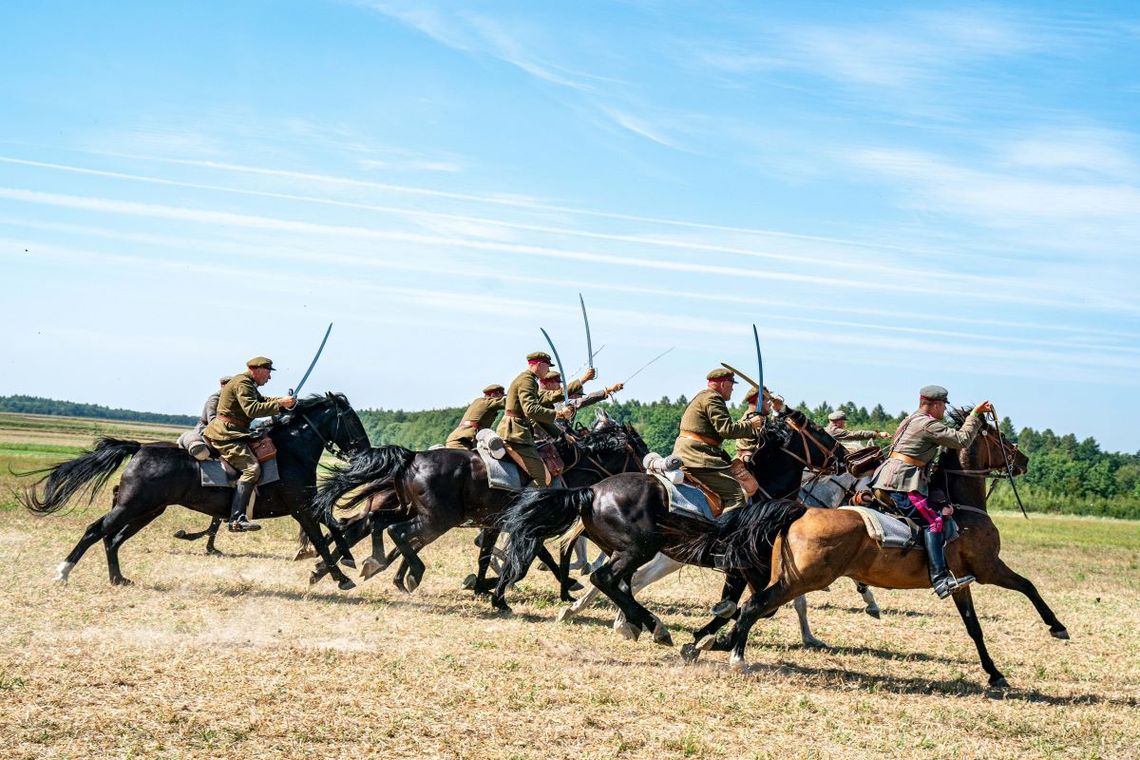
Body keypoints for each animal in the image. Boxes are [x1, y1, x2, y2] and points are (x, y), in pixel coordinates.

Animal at [22, 396, 369, 592]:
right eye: (352, 419)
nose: (363, 449)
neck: (291, 451)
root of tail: (139, 449)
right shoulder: (302, 508)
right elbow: (322, 538)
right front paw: (340, 577)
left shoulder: (308, 506)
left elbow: (335, 526)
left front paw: (347, 561)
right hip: (132, 506)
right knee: (96, 530)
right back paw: (63, 572)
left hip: (147, 511)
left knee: (113, 538)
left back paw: (118, 579)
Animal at [312, 419, 652, 597]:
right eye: (639, 447)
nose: (649, 473)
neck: (570, 468)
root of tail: (412, 457)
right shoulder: (529, 527)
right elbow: (538, 558)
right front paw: (564, 584)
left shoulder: (497, 524)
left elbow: (487, 555)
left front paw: (481, 585)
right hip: (437, 519)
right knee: (396, 531)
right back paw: (406, 573)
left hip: (410, 510)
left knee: (376, 521)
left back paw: (374, 565)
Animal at [494, 412, 843, 647]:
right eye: (815, 430)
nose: (842, 455)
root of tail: (591, 491)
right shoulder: (743, 565)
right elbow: (742, 606)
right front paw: (707, 637)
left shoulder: (749, 569)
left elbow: (742, 605)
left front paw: (704, 636)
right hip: (639, 550)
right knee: (605, 578)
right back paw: (650, 626)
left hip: (628, 551)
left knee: (620, 583)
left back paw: (631, 621)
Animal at [684, 410, 1067, 688]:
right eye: (1000, 438)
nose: (1023, 460)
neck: (960, 506)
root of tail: (799, 510)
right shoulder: (988, 568)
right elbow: (1029, 586)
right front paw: (1057, 627)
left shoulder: (963, 581)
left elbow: (974, 627)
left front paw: (994, 674)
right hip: (800, 579)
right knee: (754, 606)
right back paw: (735, 656)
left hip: (787, 577)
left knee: (752, 607)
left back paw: (711, 642)